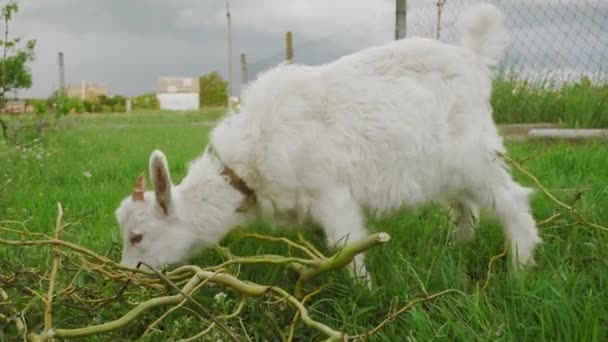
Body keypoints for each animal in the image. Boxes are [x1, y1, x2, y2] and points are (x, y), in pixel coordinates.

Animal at [114, 4, 540, 284]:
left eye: (137, 236)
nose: (126, 276)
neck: (249, 165)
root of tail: (473, 58)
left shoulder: (330, 193)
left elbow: (348, 244)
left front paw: (362, 291)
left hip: (474, 153)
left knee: (511, 200)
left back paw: (520, 268)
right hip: (447, 165)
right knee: (465, 203)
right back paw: (460, 248)